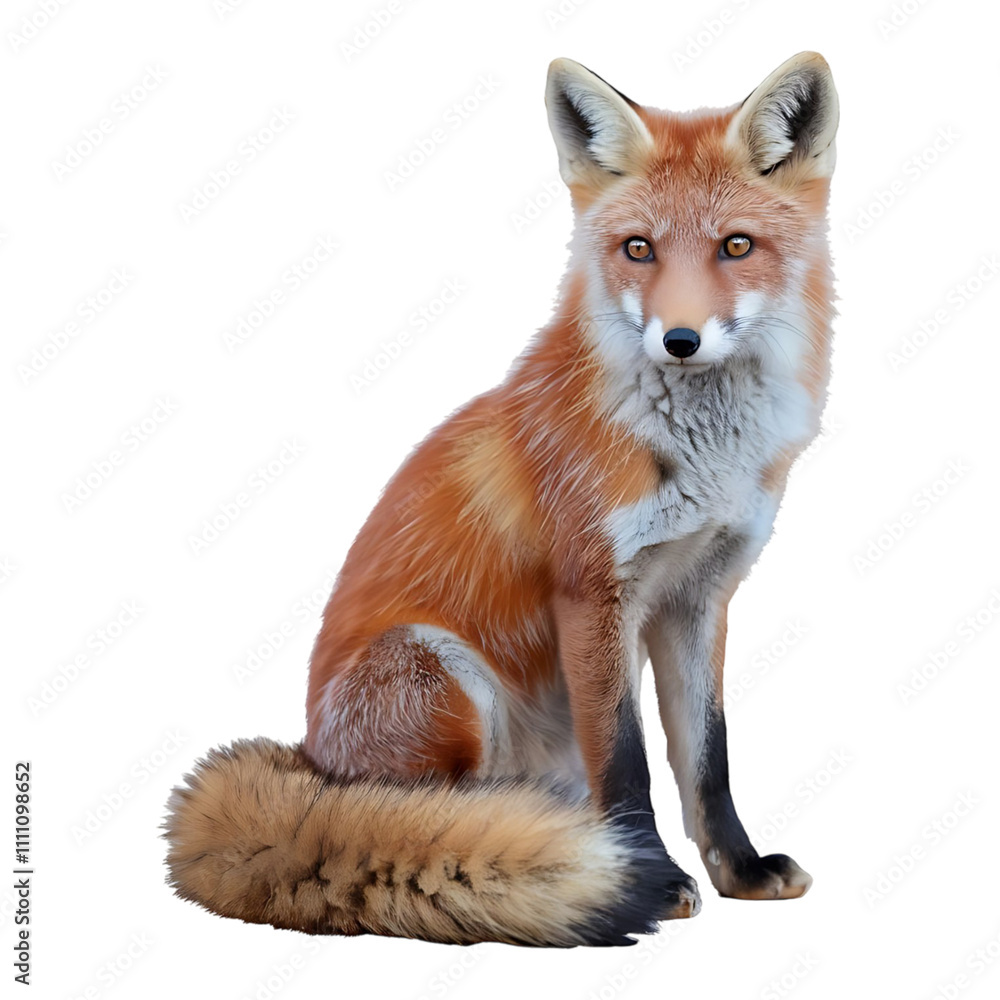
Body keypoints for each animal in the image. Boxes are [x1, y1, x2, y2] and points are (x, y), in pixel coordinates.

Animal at [165, 51, 839, 947]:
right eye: (638, 248)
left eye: (737, 246)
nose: (680, 340)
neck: (702, 457)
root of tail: (309, 762)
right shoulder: (592, 593)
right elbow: (625, 760)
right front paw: (653, 880)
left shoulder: (700, 595)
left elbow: (708, 758)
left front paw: (741, 870)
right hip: (441, 673)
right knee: (417, 822)